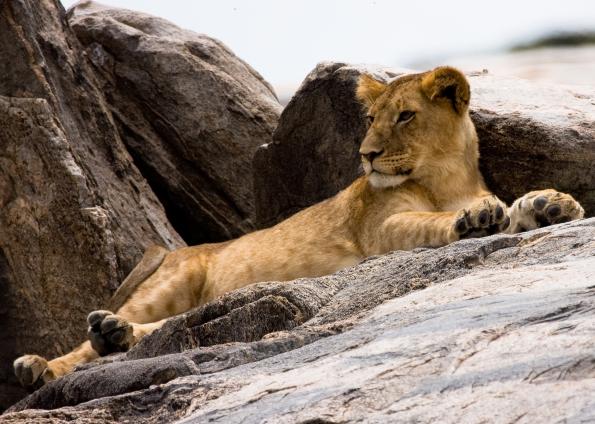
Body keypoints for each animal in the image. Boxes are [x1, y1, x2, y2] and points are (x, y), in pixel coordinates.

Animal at [14, 67, 588, 390]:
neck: (447, 176)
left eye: (405, 116)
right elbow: (434, 221)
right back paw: (44, 365)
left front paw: (551, 205)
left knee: (163, 329)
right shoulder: (379, 230)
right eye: (371, 119)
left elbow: (518, 207)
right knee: (103, 341)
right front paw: (478, 218)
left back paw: (113, 335)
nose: (366, 155)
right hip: (176, 280)